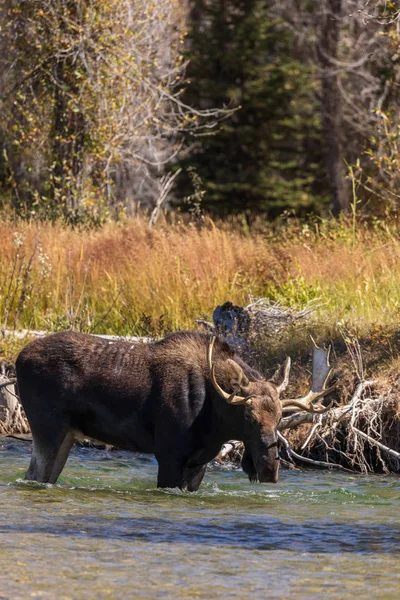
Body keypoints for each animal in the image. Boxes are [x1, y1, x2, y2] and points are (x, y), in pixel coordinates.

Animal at [15, 330, 332, 490]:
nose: (269, 468)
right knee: (34, 474)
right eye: (248, 418)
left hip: (67, 434)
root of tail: (18, 358)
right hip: (48, 428)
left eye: (280, 418)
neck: (215, 423)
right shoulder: (168, 454)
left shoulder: (199, 461)